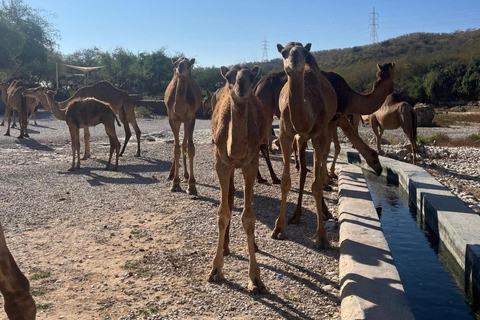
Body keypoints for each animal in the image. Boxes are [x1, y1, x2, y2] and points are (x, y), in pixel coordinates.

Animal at [165, 57, 202, 195]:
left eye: (189, 64)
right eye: (175, 63)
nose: (180, 67)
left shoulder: (191, 118)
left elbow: (190, 147)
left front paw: (192, 186)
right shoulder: (172, 119)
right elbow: (175, 148)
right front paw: (175, 183)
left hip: (185, 121)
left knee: (184, 143)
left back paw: (186, 175)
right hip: (179, 121)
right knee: (179, 144)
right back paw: (171, 174)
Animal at [208, 63, 268, 294]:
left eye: (252, 76)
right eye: (229, 77)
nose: (241, 86)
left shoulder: (251, 164)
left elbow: (248, 217)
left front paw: (256, 279)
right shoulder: (221, 163)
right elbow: (222, 213)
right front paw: (216, 270)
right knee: (230, 196)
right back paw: (225, 248)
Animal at [270, 41, 338, 249]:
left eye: (304, 52)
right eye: (283, 52)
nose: (293, 64)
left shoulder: (319, 135)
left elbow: (316, 186)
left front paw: (322, 237)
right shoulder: (285, 134)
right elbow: (285, 182)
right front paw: (278, 228)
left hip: (324, 131)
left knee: (321, 164)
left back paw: (326, 211)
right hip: (301, 138)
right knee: (302, 171)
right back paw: (296, 215)